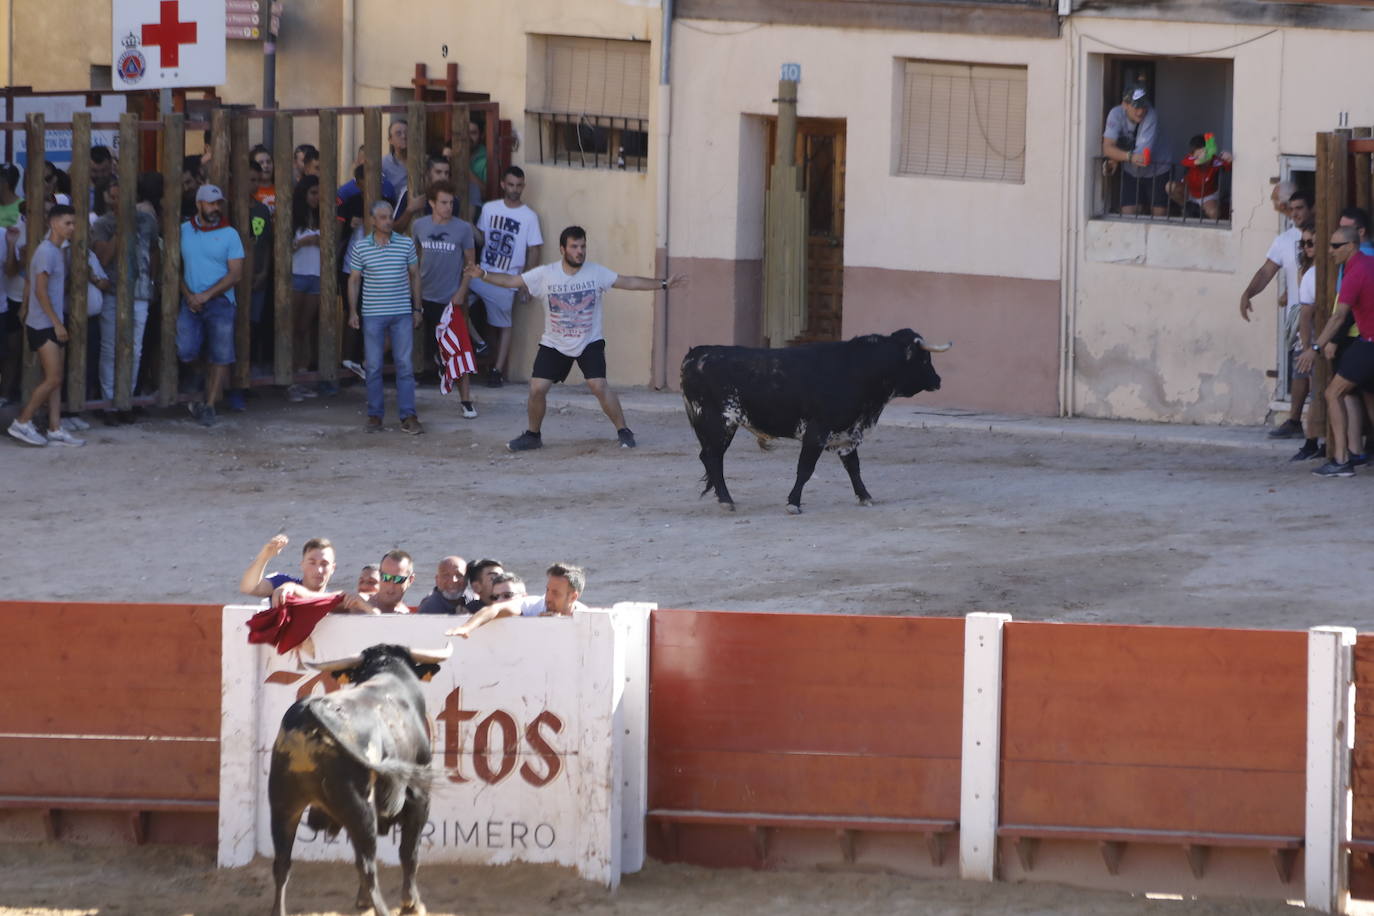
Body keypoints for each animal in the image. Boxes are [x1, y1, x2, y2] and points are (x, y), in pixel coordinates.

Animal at [270, 645, 453, 916]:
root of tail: (310, 715)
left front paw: (363, 900)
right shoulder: (420, 797)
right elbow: (409, 852)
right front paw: (412, 903)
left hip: (283, 805)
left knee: (282, 863)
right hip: (360, 807)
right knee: (368, 865)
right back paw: (385, 910)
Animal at [681, 329, 950, 516]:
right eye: (924, 359)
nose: (938, 380)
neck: (861, 368)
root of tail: (695, 355)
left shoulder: (847, 433)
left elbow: (854, 468)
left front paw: (865, 496)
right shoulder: (817, 432)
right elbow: (805, 469)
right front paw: (793, 503)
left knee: (710, 458)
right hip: (719, 423)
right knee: (712, 458)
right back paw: (726, 500)